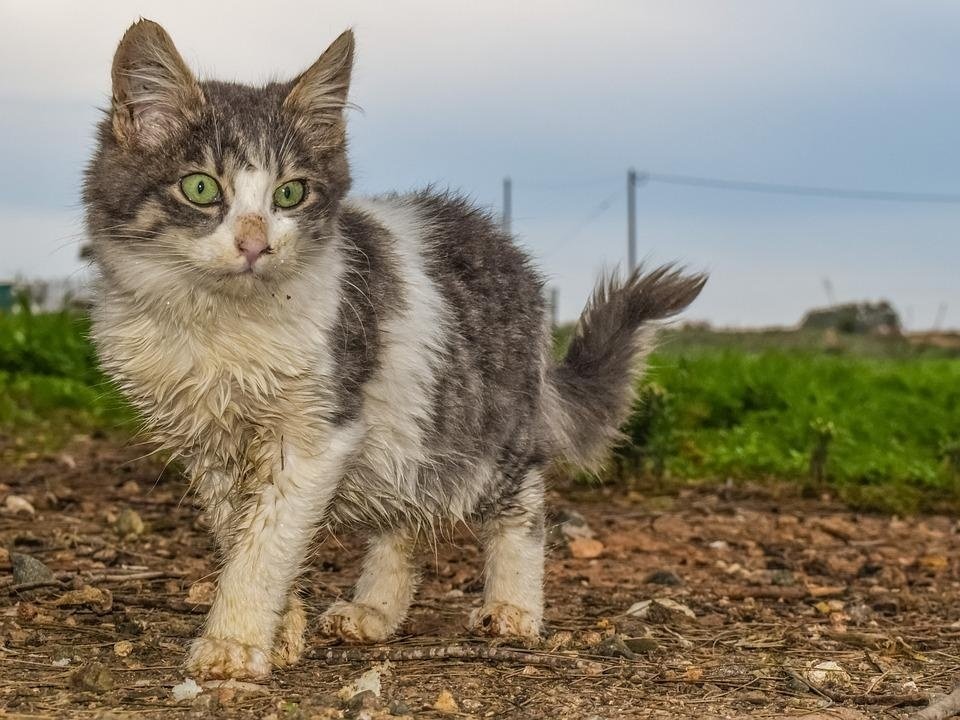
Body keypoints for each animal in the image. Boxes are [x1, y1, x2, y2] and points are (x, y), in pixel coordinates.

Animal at [84, 18, 704, 680]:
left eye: (290, 194)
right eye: (201, 187)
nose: (255, 245)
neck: (220, 325)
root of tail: (509, 250)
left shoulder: (317, 432)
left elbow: (267, 544)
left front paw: (235, 640)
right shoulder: (209, 450)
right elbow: (243, 536)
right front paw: (282, 629)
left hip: (486, 431)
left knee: (524, 505)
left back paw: (513, 607)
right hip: (409, 440)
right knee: (404, 524)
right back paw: (375, 611)